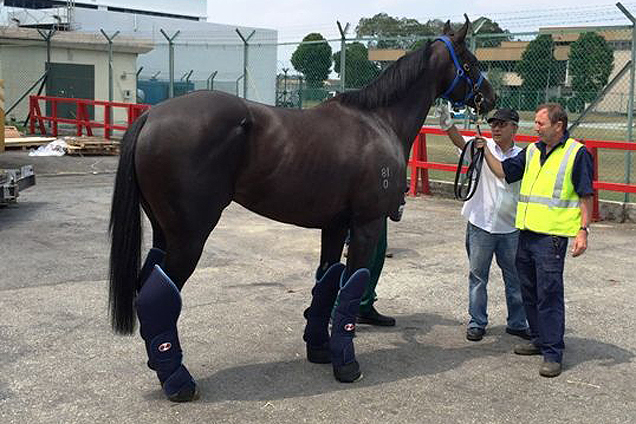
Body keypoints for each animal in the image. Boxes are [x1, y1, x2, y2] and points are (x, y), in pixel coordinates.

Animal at [109, 15, 496, 400]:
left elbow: (327, 282)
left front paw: (321, 350)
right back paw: (179, 382)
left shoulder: (336, 226)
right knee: (157, 294)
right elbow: (352, 286)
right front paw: (346, 365)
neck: (378, 122)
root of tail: (151, 117)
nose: (491, 98)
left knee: (148, 285)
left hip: (165, 234)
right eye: (472, 63)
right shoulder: (366, 225)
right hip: (189, 239)